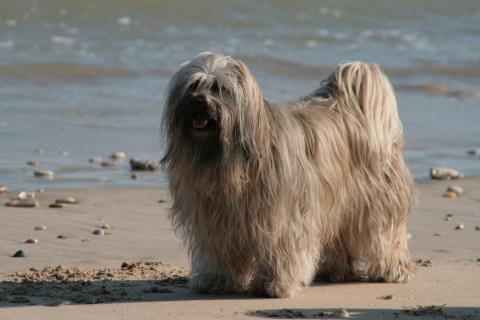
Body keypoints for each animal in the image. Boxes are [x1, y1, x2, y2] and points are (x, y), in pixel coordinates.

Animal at [161, 52, 416, 298]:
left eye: (218, 88)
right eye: (193, 85)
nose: (197, 101)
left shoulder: (282, 219)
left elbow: (281, 251)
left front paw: (274, 284)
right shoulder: (215, 222)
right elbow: (219, 252)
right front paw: (217, 280)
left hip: (377, 203)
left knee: (385, 235)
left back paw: (394, 270)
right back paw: (335, 271)